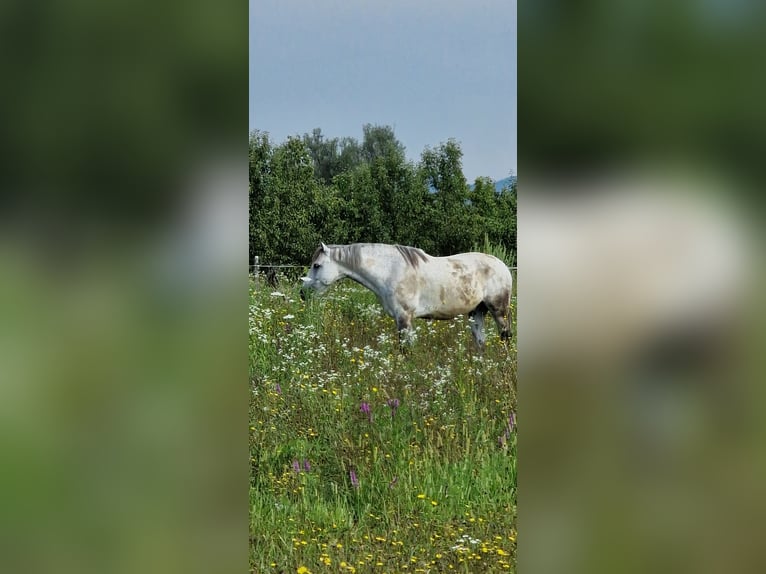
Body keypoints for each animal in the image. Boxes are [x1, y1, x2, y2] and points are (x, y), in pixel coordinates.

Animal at [300, 242, 513, 348]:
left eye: (316, 265)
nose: (303, 293)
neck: (390, 270)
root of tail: (502, 266)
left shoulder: (404, 318)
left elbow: (405, 349)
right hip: (477, 312)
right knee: (481, 342)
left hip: (498, 311)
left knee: (506, 336)